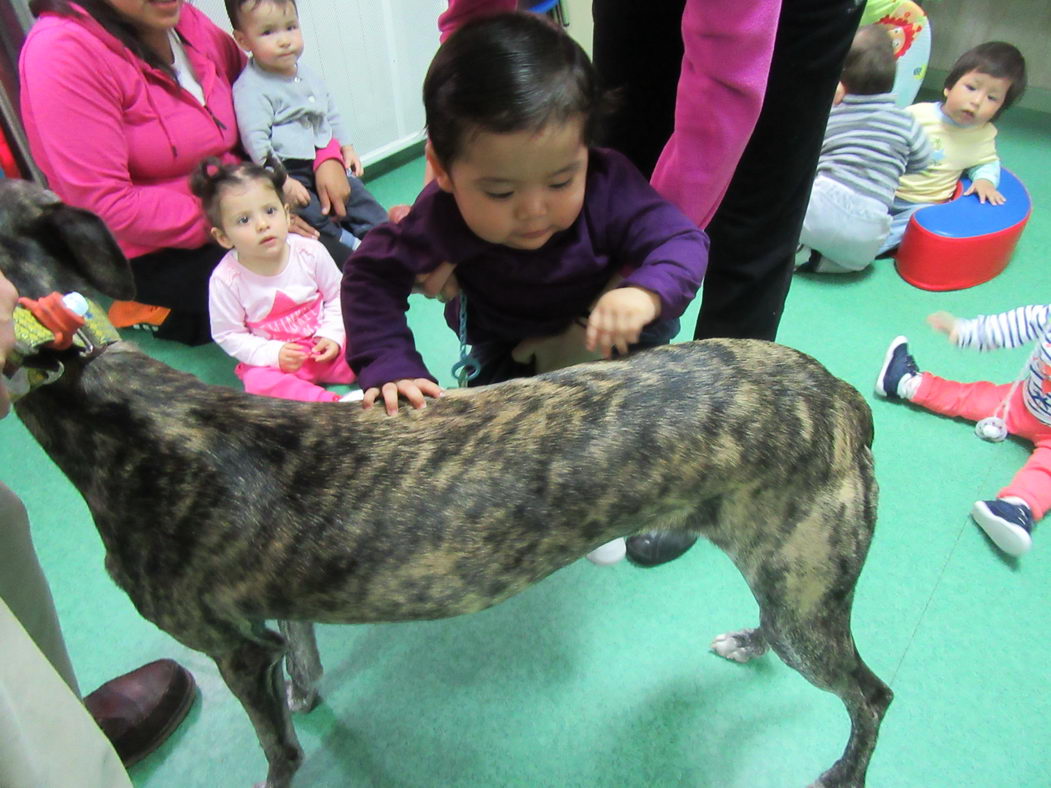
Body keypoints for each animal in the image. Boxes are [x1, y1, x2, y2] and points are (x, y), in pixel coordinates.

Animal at [0, 178, 891, 788]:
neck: (113, 409)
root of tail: (839, 394)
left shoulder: (231, 648)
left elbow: (275, 746)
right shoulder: (273, 610)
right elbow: (302, 660)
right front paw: (308, 692)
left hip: (805, 581)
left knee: (870, 694)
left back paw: (842, 773)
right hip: (783, 568)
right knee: (784, 631)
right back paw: (746, 642)